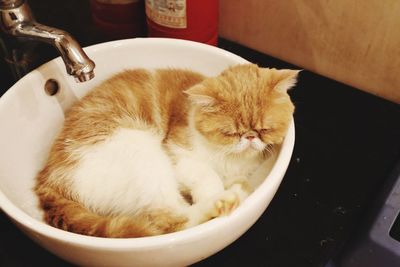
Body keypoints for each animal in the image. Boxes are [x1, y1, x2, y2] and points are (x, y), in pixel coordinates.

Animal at [34, 63, 298, 239]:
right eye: (230, 132)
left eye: (264, 129)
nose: (250, 137)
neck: (230, 158)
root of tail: (47, 180)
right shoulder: (176, 153)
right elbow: (206, 175)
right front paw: (213, 192)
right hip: (140, 151)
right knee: (173, 219)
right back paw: (224, 199)